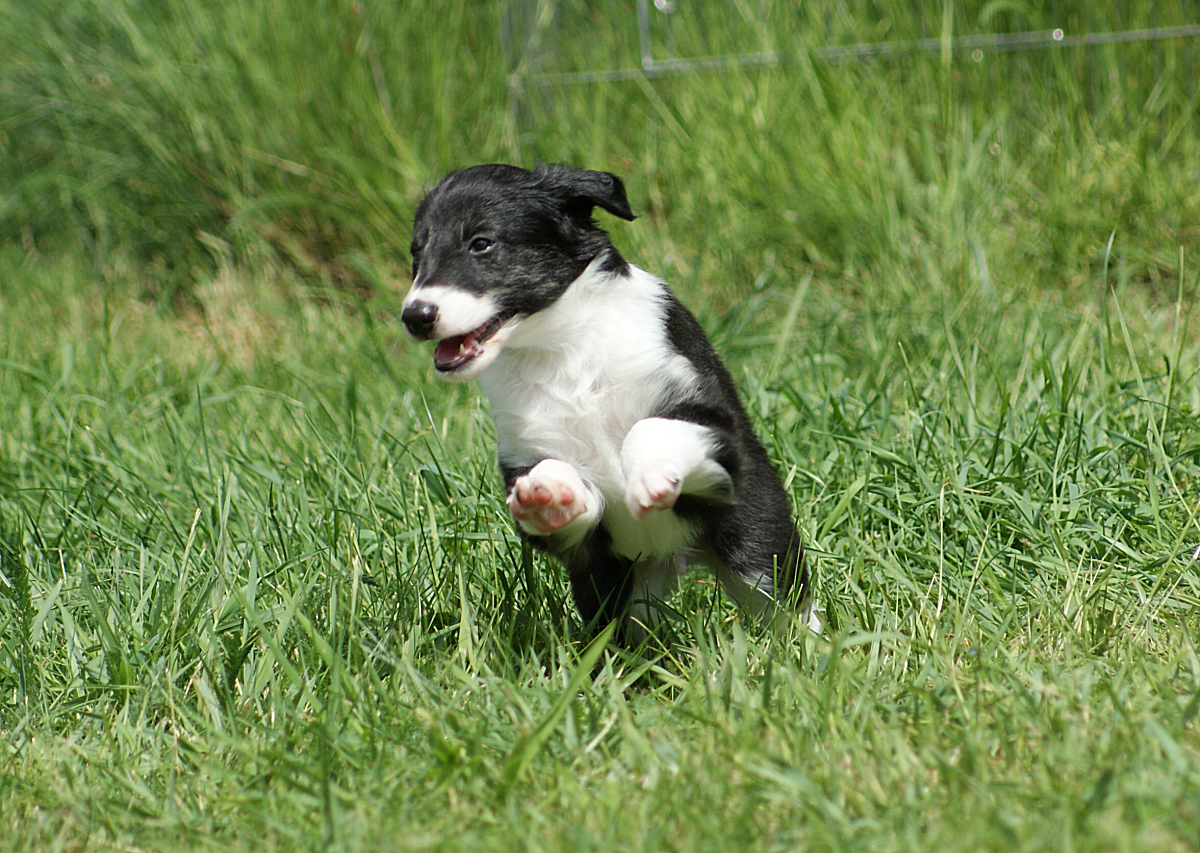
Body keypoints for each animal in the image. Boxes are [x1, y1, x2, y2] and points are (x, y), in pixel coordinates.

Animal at [403, 163, 816, 643]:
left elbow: (647, 427)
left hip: (756, 546)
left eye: (481, 243)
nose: (414, 317)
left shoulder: (713, 419)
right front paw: (546, 495)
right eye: (417, 252)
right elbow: (561, 491)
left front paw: (651, 479)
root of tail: (678, 556)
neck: (562, 349)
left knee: (788, 607)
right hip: (617, 595)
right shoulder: (530, 457)